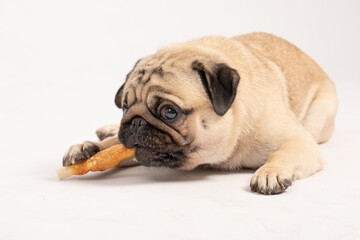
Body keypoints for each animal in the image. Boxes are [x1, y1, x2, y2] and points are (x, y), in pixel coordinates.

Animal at [62, 31, 338, 194]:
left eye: (169, 112)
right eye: (125, 107)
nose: (136, 122)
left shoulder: (299, 141)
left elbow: (281, 154)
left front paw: (270, 172)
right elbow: (113, 147)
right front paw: (89, 149)